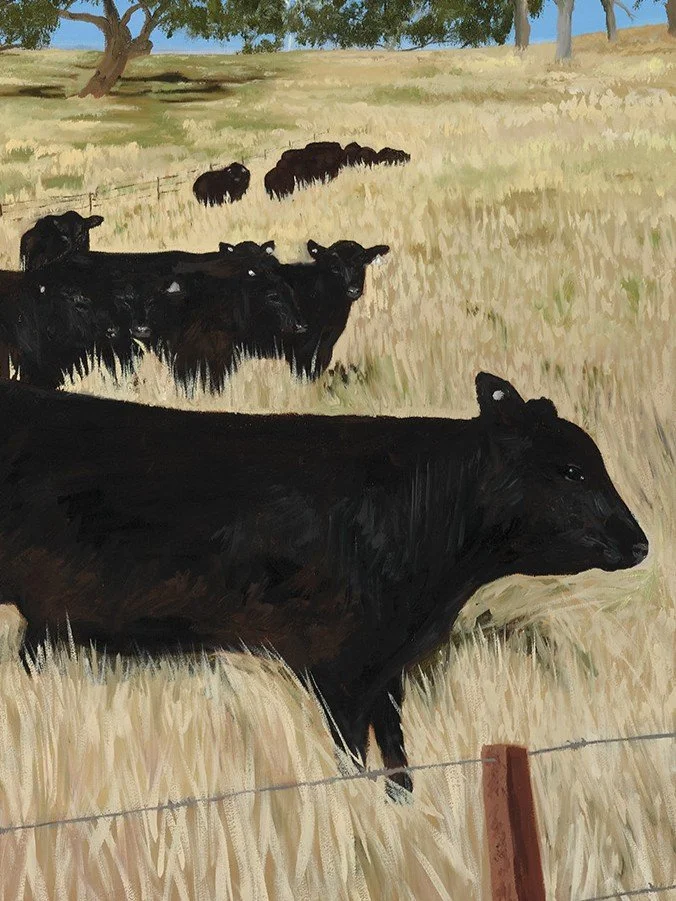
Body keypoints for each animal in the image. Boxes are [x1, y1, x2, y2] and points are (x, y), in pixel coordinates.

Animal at [0, 372, 649, 796]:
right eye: (571, 470)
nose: (640, 543)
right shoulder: (338, 667)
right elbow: (351, 760)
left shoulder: (385, 667)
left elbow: (397, 760)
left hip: (46, 628)